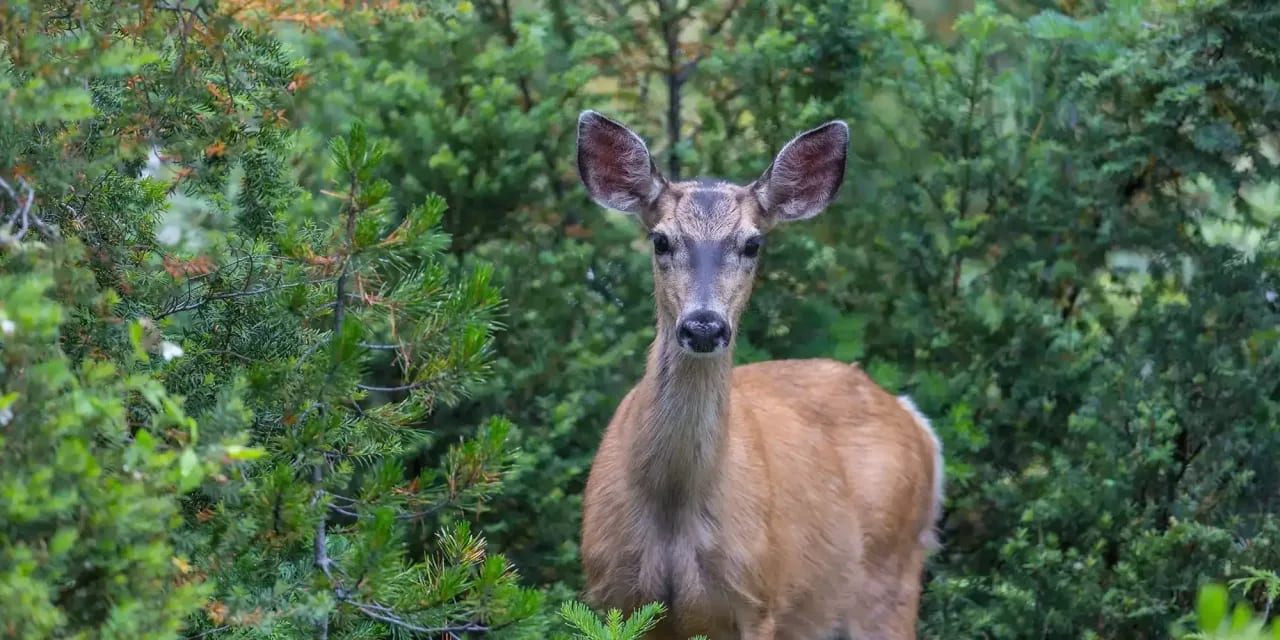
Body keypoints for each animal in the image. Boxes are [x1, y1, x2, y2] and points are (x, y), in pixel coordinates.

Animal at [574, 110, 945, 640]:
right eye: (660, 239)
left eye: (752, 244)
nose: (704, 325)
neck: (673, 503)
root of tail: (915, 419)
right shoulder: (609, 593)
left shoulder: (757, 595)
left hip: (890, 577)